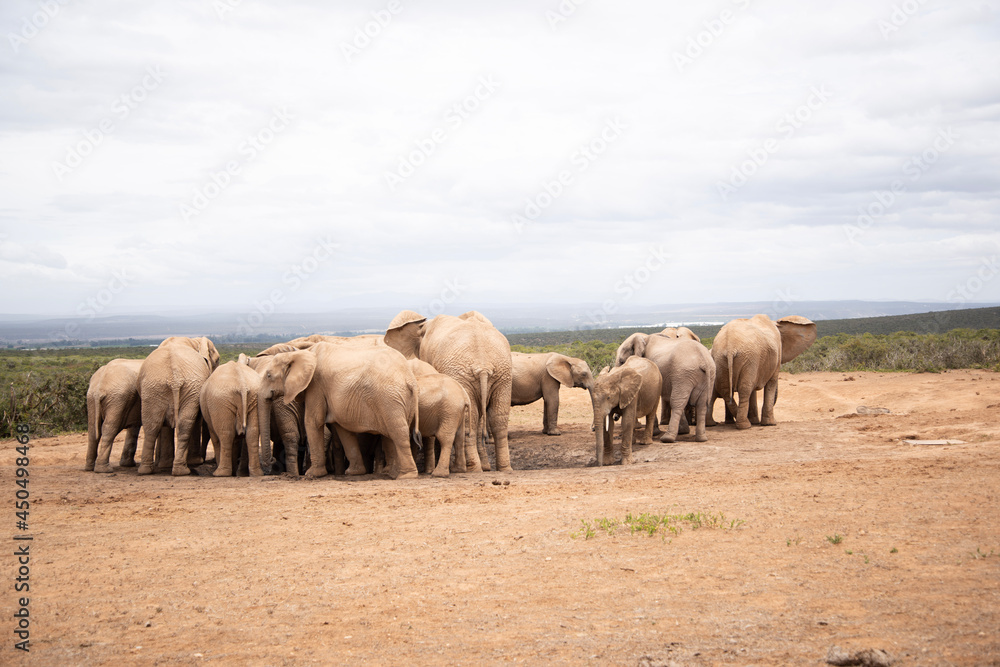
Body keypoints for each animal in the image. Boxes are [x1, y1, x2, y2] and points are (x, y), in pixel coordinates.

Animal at [137, 336, 220, 476]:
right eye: (218, 359)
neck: (193, 341)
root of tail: (174, 378)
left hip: (156, 388)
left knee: (154, 425)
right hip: (163, 387)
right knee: (171, 424)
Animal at [256, 342, 421, 480]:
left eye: (269, 375)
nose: (272, 460)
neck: (300, 353)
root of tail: (410, 379)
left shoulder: (315, 385)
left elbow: (313, 421)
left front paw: (312, 475)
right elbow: (343, 429)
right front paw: (354, 473)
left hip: (389, 399)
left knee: (398, 432)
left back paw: (406, 476)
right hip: (399, 401)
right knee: (391, 435)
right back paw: (392, 474)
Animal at [385, 310, 513, 473]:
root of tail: (483, 366)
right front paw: (486, 467)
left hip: (465, 374)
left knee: (469, 420)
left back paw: (473, 468)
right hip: (502, 374)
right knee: (498, 418)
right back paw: (503, 468)